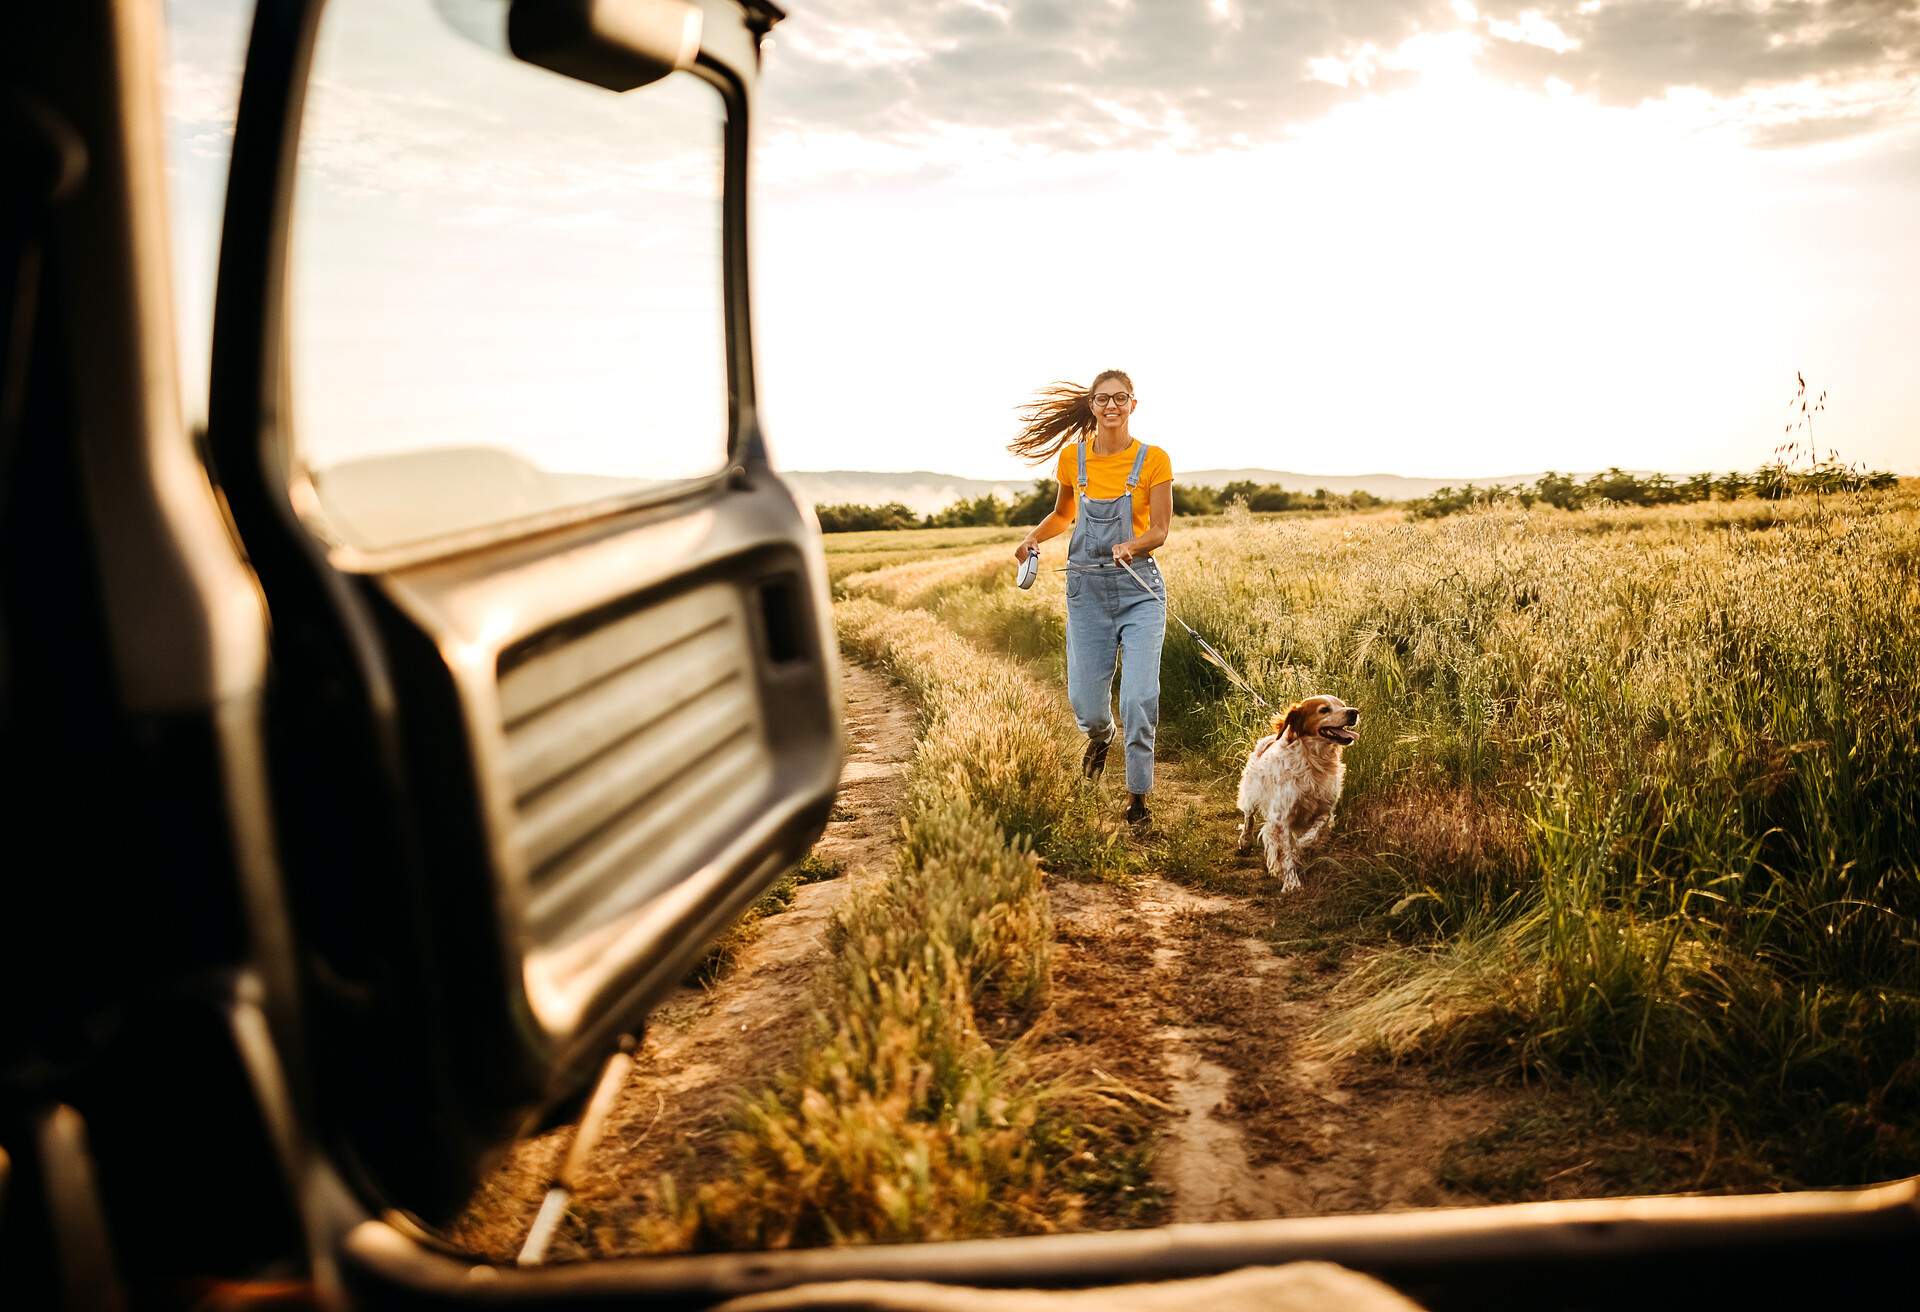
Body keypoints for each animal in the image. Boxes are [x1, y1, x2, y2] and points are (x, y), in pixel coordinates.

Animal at [1236, 699, 1359, 891]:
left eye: (1343, 704)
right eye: (1324, 710)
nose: (1354, 712)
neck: (1315, 761)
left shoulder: (1325, 809)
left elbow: (1313, 833)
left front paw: (1300, 847)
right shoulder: (1280, 819)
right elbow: (1285, 853)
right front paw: (1291, 883)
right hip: (1250, 794)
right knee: (1249, 818)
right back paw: (1245, 842)